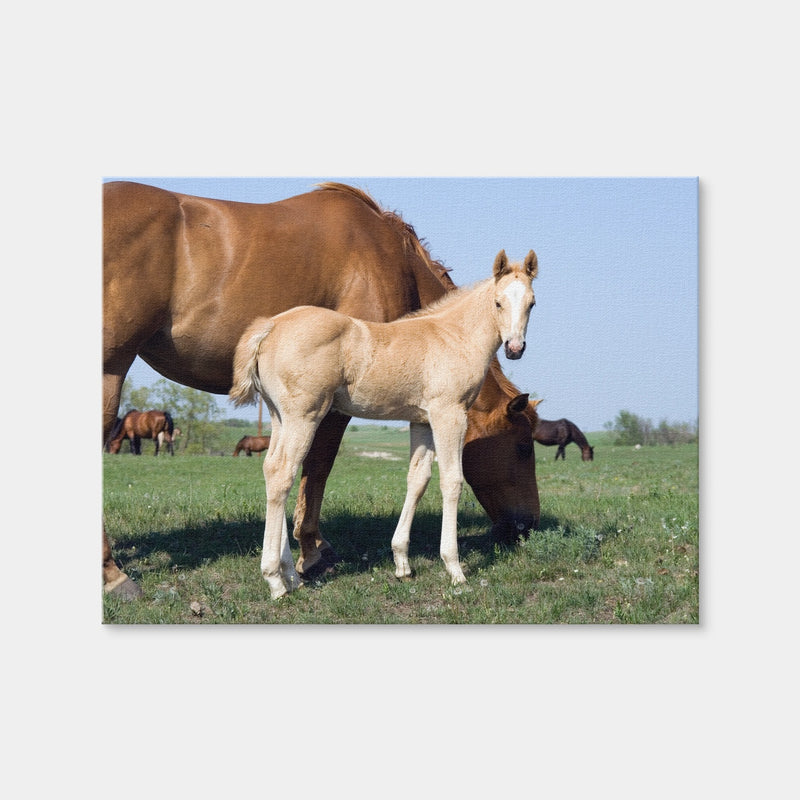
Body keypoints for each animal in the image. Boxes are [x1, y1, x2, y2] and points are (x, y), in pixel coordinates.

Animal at [230, 249, 538, 598]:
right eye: (498, 303)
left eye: (532, 303)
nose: (515, 348)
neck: (453, 338)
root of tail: (270, 325)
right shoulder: (449, 414)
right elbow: (452, 481)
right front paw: (455, 569)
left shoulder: (421, 421)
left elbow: (418, 479)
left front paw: (402, 563)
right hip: (303, 415)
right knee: (283, 472)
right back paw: (275, 581)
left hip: (280, 416)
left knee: (271, 469)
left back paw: (291, 577)